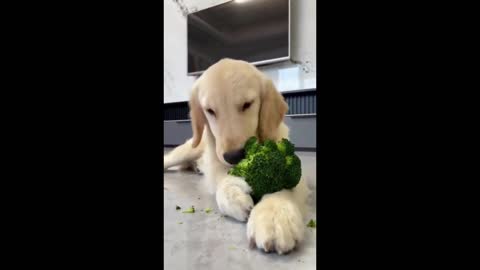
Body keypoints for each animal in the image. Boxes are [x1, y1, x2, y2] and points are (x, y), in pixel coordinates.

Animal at [163, 58, 310, 254]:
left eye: (247, 104)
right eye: (210, 110)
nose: (234, 156)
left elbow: (284, 185)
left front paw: (274, 213)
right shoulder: (215, 164)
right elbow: (222, 180)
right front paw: (234, 195)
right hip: (189, 149)